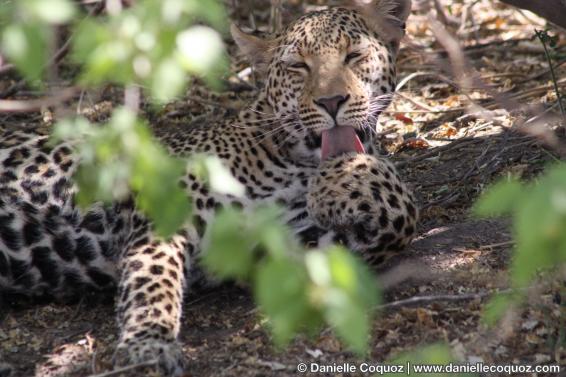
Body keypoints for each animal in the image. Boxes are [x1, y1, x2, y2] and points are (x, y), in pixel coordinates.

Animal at [0, 1, 418, 374]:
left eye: (354, 55)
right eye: (298, 66)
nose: (331, 101)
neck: (293, 162)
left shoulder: (285, 248)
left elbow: (401, 214)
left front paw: (341, 181)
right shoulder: (162, 220)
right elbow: (153, 282)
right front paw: (147, 345)